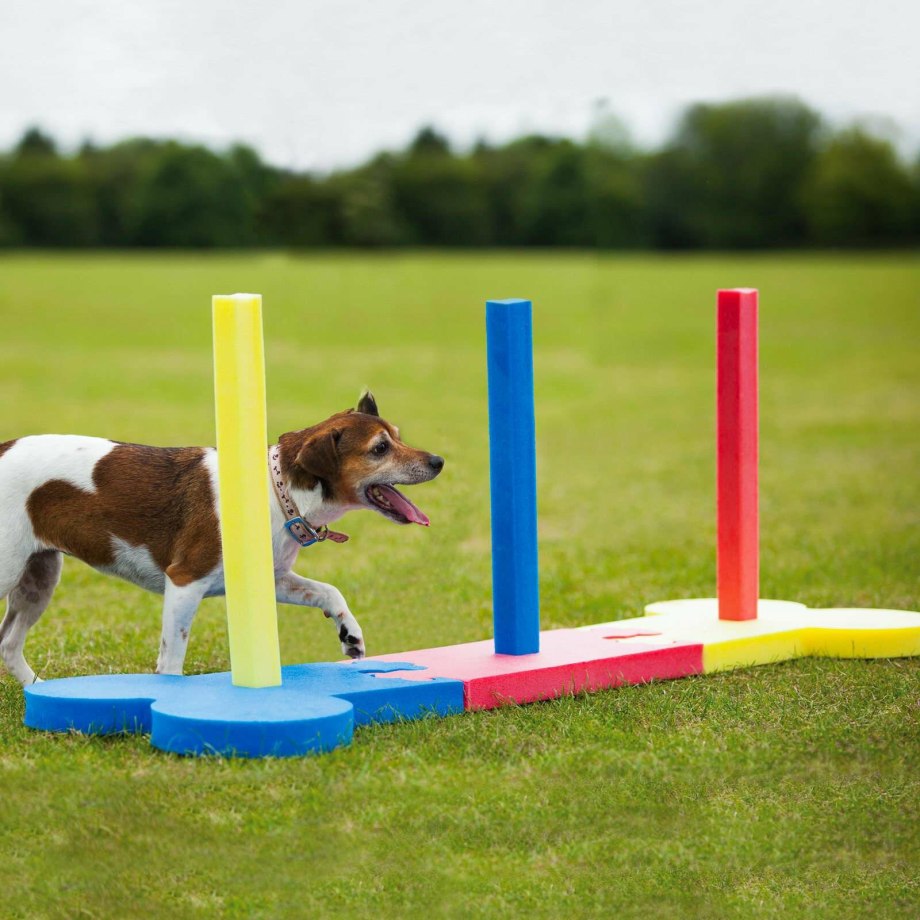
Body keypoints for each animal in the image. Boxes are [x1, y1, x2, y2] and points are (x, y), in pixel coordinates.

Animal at [0, 392, 442, 688]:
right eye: (380, 449)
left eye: (398, 437)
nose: (438, 461)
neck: (278, 491)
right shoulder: (184, 582)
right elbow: (172, 660)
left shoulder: (272, 580)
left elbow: (329, 592)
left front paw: (349, 633)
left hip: (39, 577)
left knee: (8, 642)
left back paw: (38, 690)